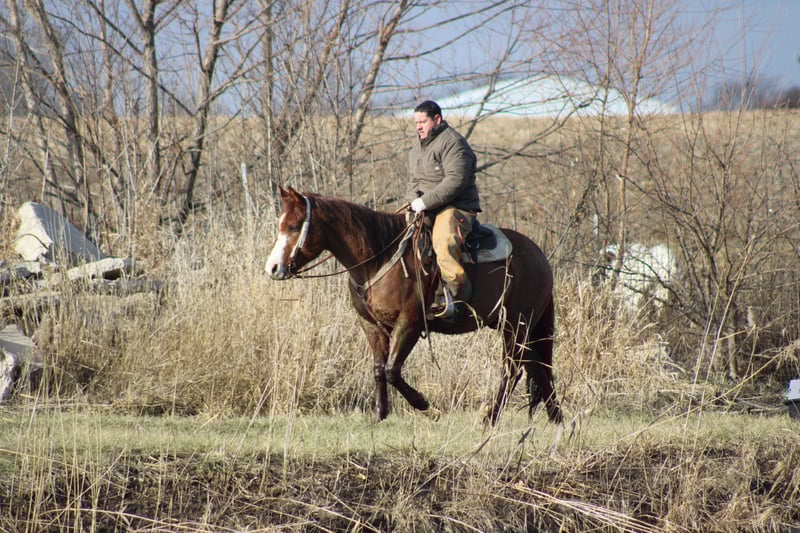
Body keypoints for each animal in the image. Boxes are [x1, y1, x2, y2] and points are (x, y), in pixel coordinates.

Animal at [265, 186, 562, 426]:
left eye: (295, 226)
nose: (273, 268)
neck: (380, 256)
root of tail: (539, 256)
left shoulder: (408, 324)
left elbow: (392, 371)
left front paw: (427, 408)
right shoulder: (371, 325)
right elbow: (379, 368)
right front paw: (379, 415)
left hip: (516, 324)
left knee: (512, 370)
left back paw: (490, 418)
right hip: (518, 326)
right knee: (538, 367)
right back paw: (556, 417)